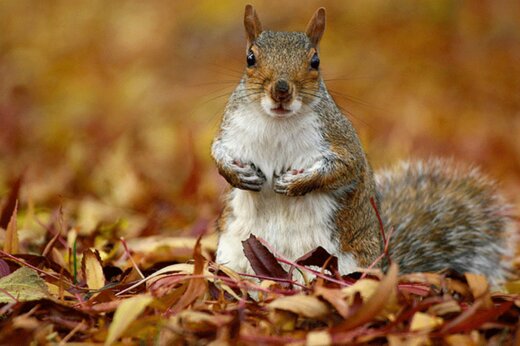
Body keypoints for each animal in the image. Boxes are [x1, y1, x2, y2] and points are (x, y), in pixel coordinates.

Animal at [210, 5, 516, 286]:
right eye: (250, 58)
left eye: (315, 61)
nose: (281, 90)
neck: (277, 122)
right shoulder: (231, 132)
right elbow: (218, 152)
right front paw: (235, 174)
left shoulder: (340, 140)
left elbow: (345, 168)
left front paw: (297, 184)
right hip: (232, 254)